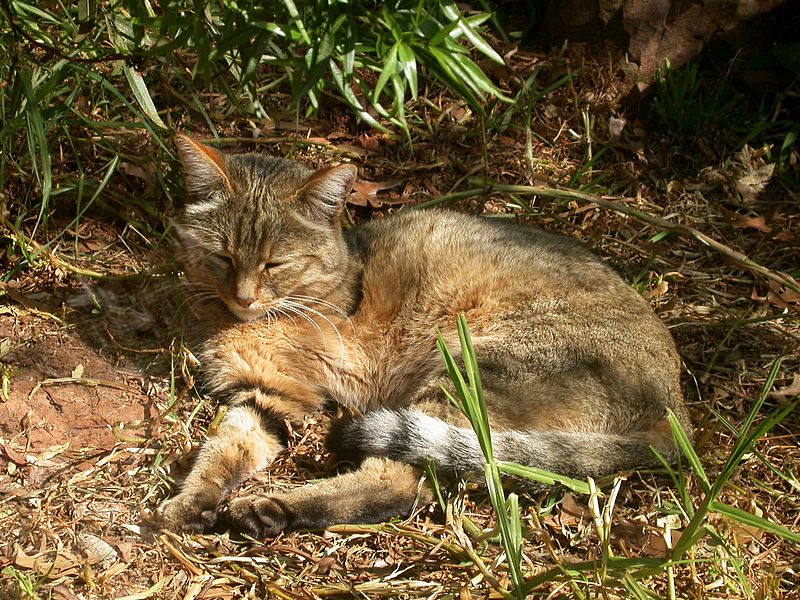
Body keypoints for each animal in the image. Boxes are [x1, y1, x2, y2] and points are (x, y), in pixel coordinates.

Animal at [153, 134, 692, 536]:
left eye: (274, 264)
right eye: (222, 257)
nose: (243, 298)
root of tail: (676, 411)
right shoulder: (268, 394)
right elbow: (223, 447)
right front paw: (190, 500)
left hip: (468, 369)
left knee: (403, 479)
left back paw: (273, 508)